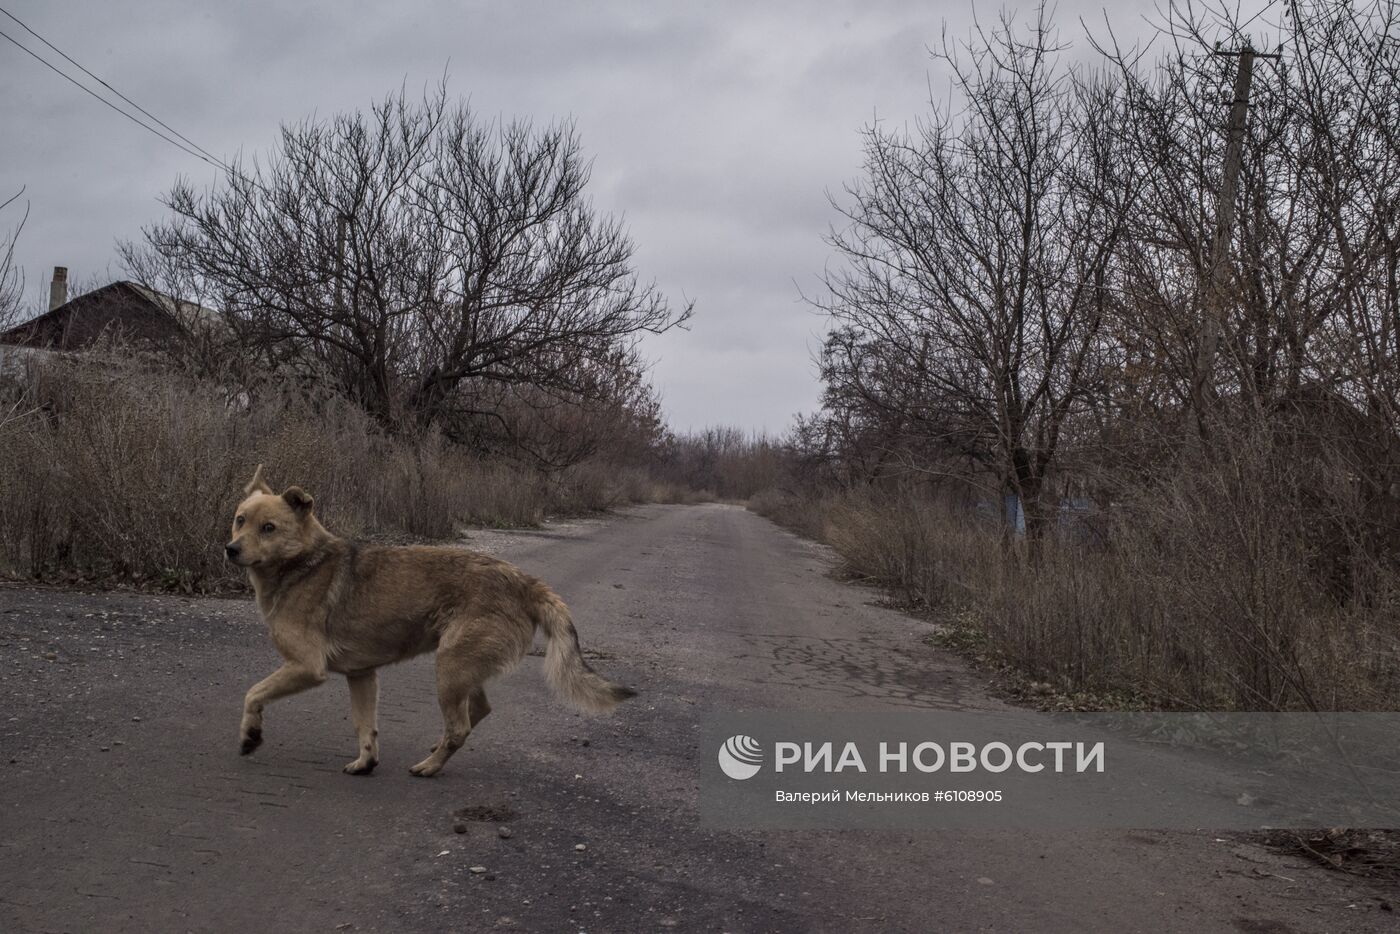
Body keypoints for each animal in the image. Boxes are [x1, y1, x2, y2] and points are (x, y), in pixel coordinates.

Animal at [222, 464, 635, 778]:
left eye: (269, 528)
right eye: (240, 520)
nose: (230, 549)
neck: (301, 564)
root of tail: (524, 581)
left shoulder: (306, 667)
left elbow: (252, 693)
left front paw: (250, 735)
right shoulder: (362, 675)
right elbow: (364, 725)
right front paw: (365, 762)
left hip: (449, 667)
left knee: (461, 726)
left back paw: (430, 766)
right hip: (462, 667)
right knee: (477, 712)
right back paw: (436, 749)